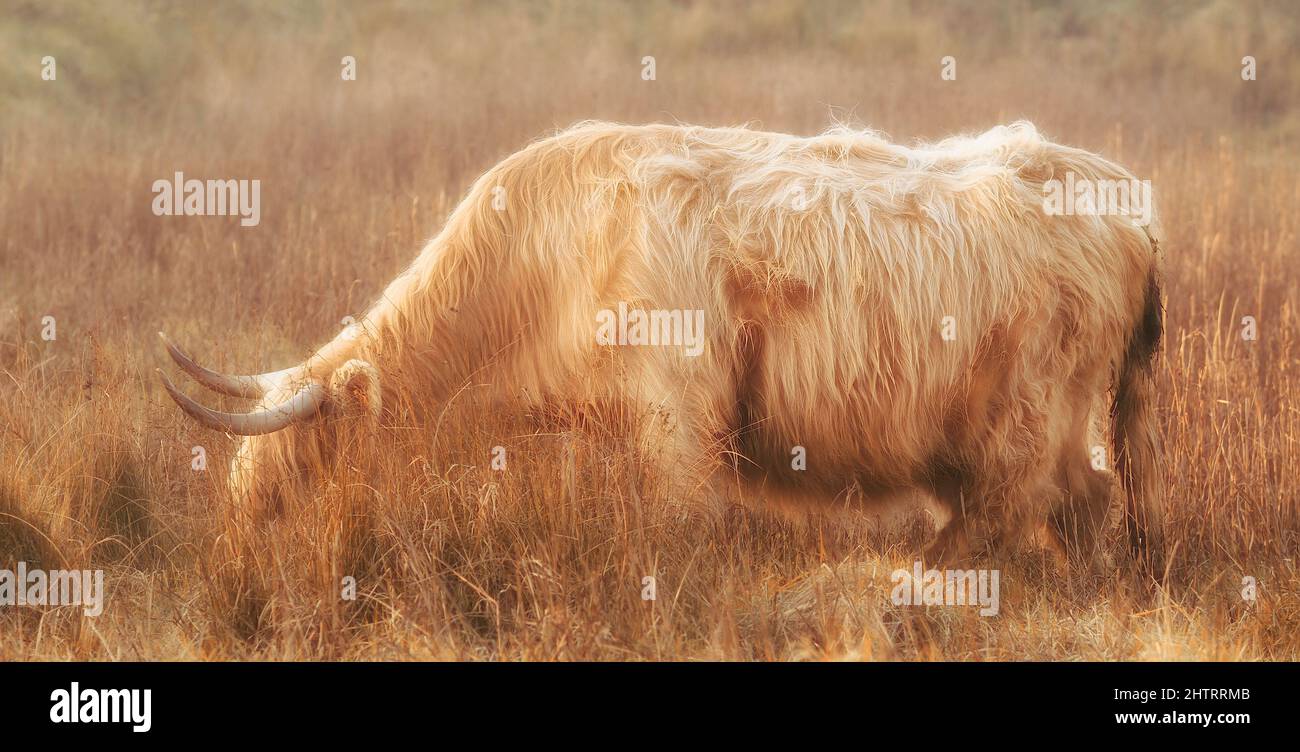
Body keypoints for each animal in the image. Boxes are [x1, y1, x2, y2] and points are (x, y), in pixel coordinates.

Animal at [159, 120, 1165, 574]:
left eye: (301, 470)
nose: (234, 564)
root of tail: (1121, 194)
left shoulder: (678, 415)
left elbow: (679, 530)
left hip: (1035, 408)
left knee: (1040, 501)